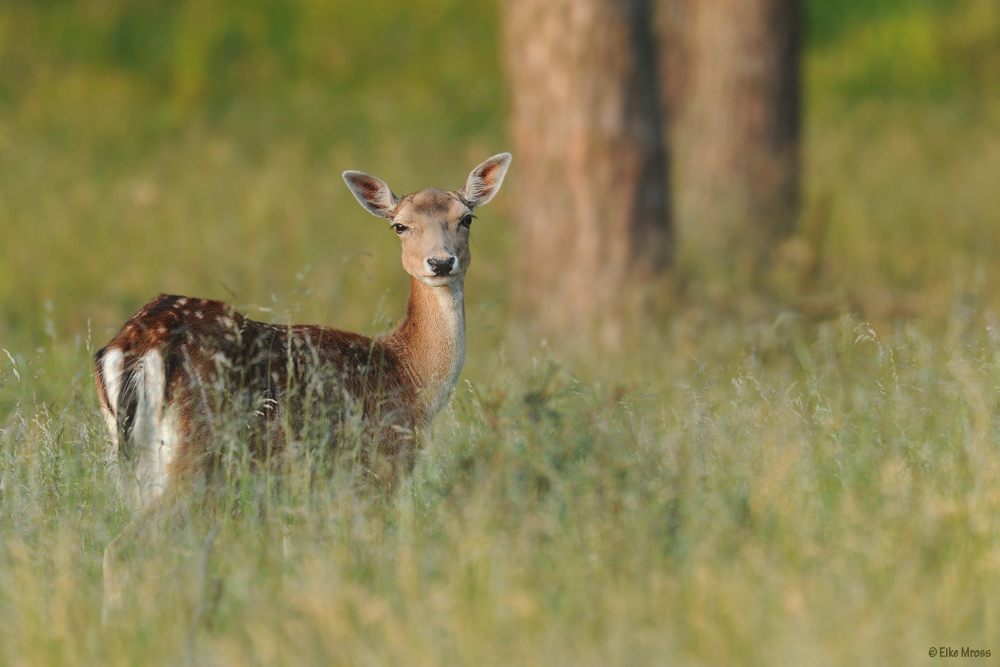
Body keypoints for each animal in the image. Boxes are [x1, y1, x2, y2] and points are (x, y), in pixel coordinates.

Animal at [94, 153, 512, 612]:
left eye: (466, 218)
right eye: (399, 226)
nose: (440, 262)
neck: (411, 375)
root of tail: (135, 344)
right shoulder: (380, 467)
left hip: (133, 459)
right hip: (194, 452)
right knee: (124, 546)